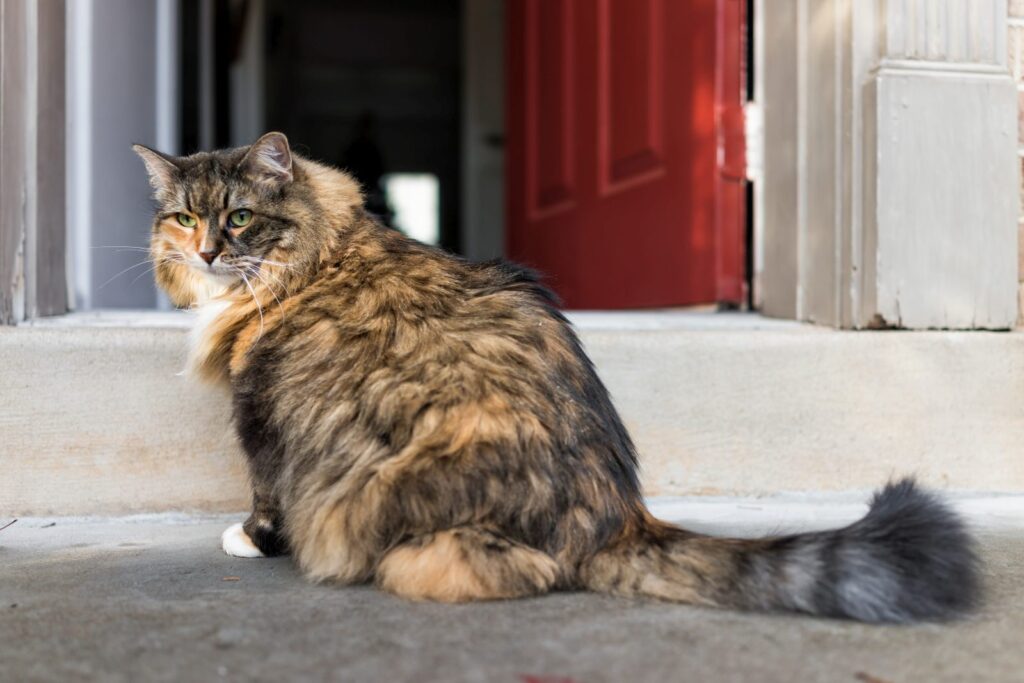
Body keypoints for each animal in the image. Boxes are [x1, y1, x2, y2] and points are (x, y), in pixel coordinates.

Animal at [132, 135, 978, 626]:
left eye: (240, 217)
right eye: (184, 217)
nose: (207, 251)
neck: (321, 255)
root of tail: (621, 514)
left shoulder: (262, 412)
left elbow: (266, 493)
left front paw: (248, 539)